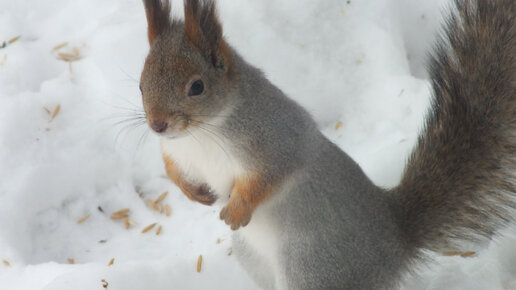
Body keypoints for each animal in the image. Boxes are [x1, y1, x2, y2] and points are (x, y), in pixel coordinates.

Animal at [138, 0, 516, 288]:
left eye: (197, 87)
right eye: (141, 84)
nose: (157, 124)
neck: (200, 133)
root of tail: (396, 238)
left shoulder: (277, 139)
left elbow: (270, 176)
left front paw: (237, 207)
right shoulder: (175, 152)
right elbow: (172, 170)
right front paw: (194, 192)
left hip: (313, 268)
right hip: (256, 259)